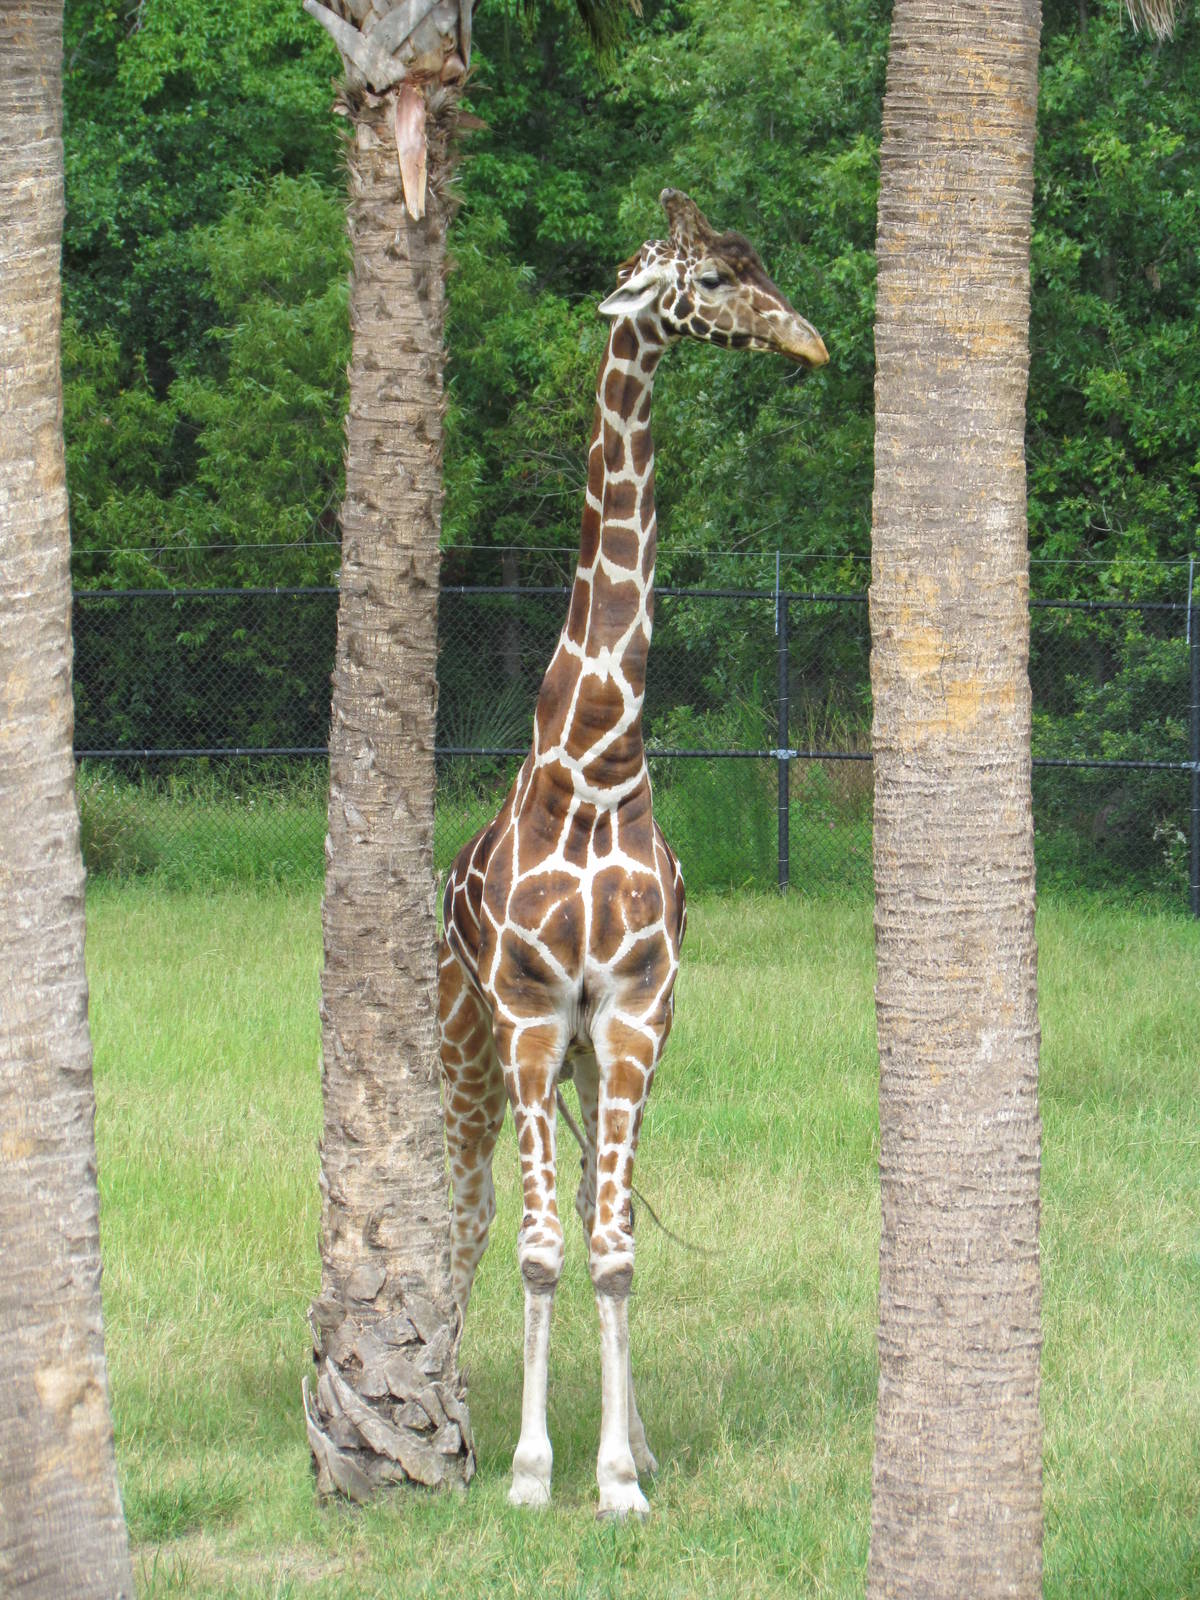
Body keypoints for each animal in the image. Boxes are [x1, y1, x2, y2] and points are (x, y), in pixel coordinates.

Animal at [437, 189, 828, 1517]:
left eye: (759, 263)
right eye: (706, 279)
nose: (811, 341)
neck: (595, 763)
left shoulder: (637, 1011)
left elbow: (612, 1248)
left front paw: (616, 1475)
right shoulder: (524, 1010)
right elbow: (539, 1249)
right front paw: (526, 1472)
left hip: (592, 1057)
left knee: (607, 1219)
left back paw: (638, 1440)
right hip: (474, 1047)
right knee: (472, 1212)